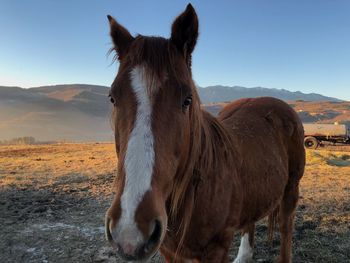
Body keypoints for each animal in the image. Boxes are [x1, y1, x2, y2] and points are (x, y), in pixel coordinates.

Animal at [104, 4, 304, 263]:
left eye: (187, 99)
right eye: (112, 97)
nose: (131, 230)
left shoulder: (216, 249)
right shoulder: (169, 250)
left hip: (291, 189)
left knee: (285, 227)